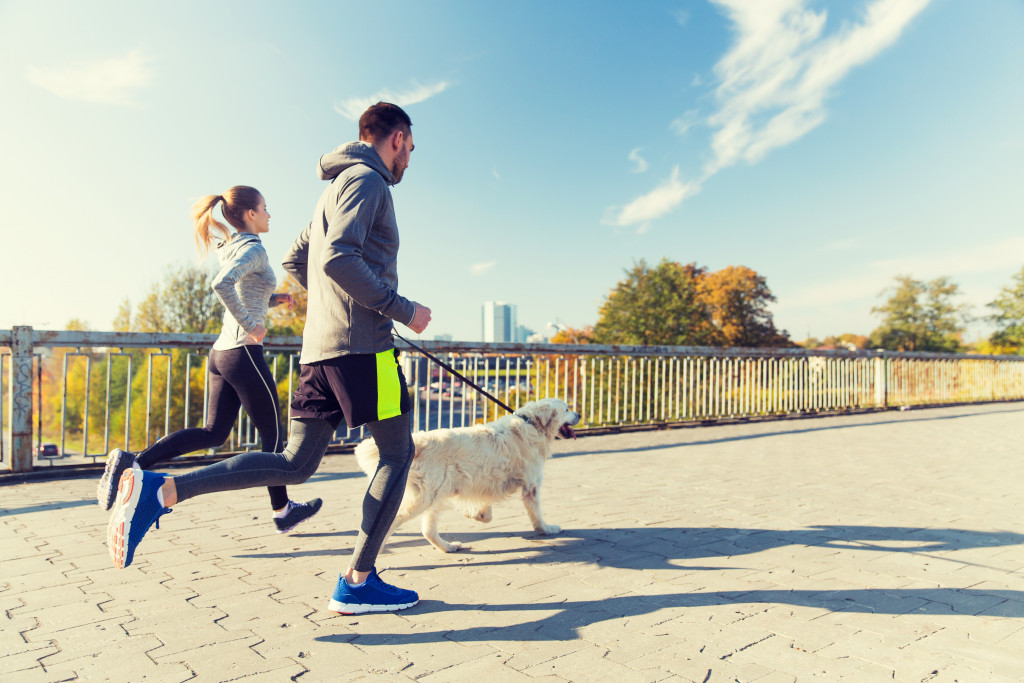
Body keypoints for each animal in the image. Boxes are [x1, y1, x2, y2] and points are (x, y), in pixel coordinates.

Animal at [354, 397, 581, 552]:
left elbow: (485, 508)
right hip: (424, 498)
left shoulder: (485, 483)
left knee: (428, 530)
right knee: (391, 522)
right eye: (567, 409)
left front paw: (478, 514)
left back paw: (448, 547)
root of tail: (421, 441)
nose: (579, 414)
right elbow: (537, 514)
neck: (532, 424)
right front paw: (547, 530)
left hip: (435, 495)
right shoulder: (531, 485)